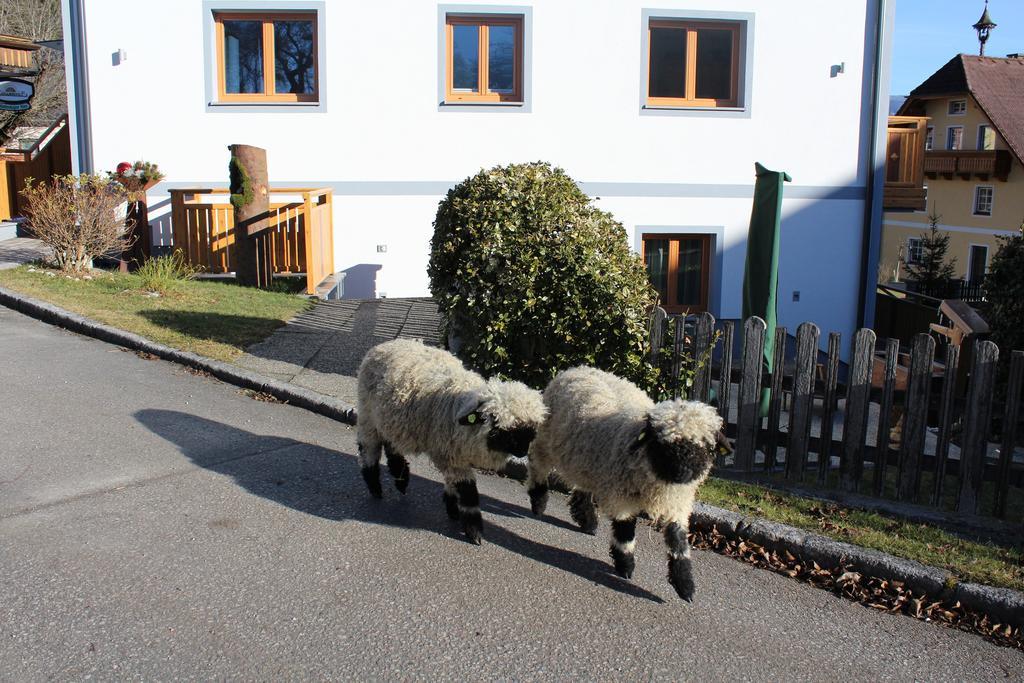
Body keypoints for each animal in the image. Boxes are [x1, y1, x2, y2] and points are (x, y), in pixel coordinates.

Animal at [356, 339, 548, 544]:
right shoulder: (451, 456)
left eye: (531, 432)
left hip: (391, 421)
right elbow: (468, 492)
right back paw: (375, 486)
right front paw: (474, 531)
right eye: (501, 428)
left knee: (392, 446)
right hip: (367, 415)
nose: (522, 452)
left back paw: (401, 479)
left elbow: (452, 484)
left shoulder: (452, 454)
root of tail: (388, 343)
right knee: (368, 449)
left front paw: (453, 509)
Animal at [524, 366, 724, 602]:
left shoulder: (677, 504)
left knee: (583, 486)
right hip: (546, 442)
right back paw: (538, 502)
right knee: (537, 466)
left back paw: (588, 521)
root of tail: (575, 369)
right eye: (662, 443)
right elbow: (625, 533)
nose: (682, 473)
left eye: (704, 445)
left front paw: (685, 586)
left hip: (585, 457)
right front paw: (625, 566)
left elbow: (678, 541)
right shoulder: (622, 497)